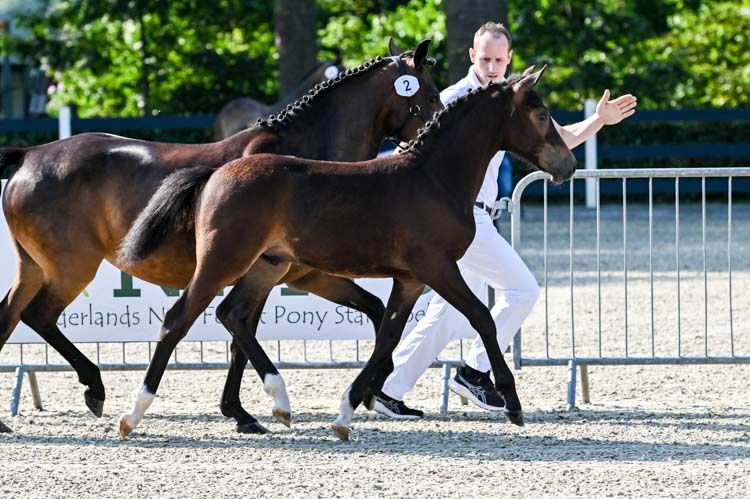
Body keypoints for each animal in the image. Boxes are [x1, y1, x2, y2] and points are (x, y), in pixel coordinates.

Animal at [0, 39, 442, 434]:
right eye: (432, 94)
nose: (435, 134)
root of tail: (29, 155)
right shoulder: (281, 273)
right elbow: (238, 329)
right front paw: (253, 409)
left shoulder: (303, 274)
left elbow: (369, 310)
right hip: (71, 268)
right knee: (39, 316)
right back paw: (94, 387)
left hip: (34, 269)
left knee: (9, 317)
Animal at [117, 66, 576, 440]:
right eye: (541, 115)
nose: (568, 165)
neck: (432, 179)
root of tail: (216, 172)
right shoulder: (437, 267)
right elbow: (481, 318)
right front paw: (512, 402)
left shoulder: (410, 278)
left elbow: (388, 333)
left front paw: (347, 411)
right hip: (222, 261)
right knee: (179, 319)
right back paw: (134, 414)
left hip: (265, 266)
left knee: (233, 316)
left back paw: (275, 403)